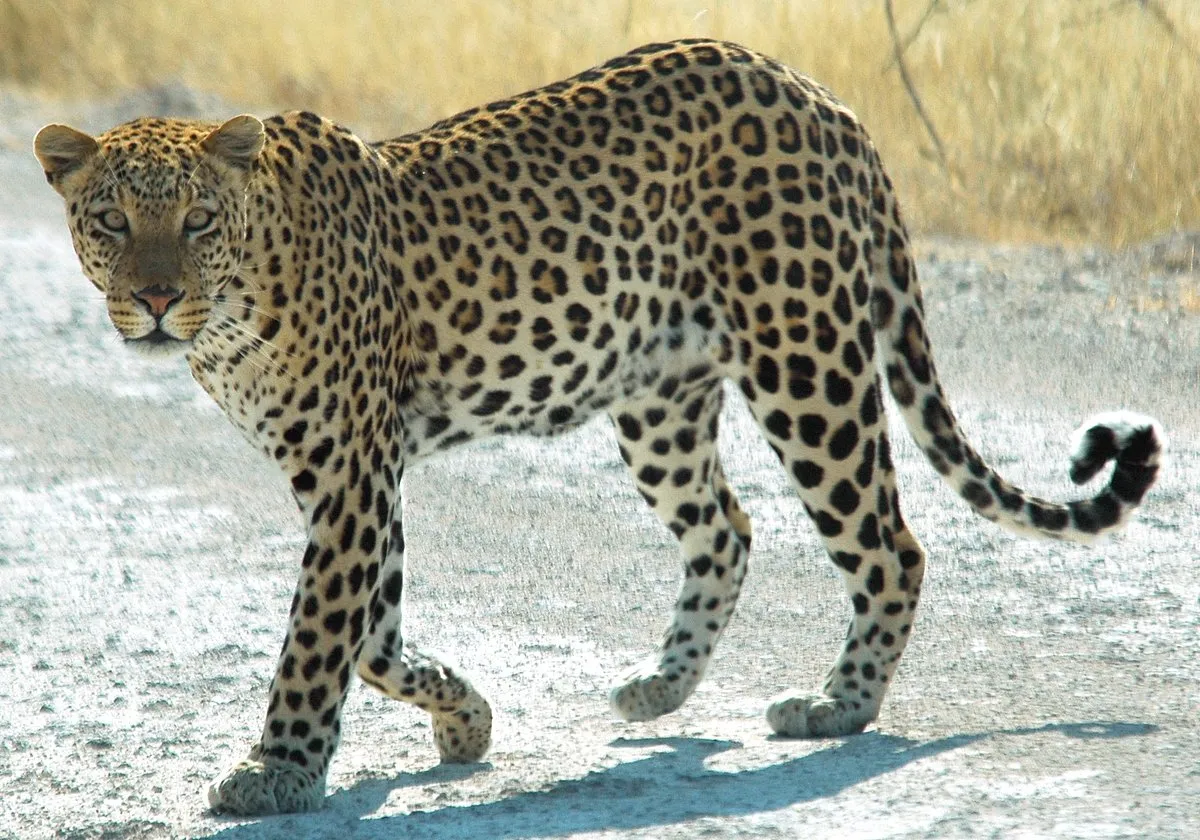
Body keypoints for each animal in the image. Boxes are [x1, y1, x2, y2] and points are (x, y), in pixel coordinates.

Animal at [34, 39, 1163, 816]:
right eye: (111, 222)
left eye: (196, 222)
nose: (155, 302)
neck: (235, 309)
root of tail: (819, 94)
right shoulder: (357, 475)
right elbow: (373, 633)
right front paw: (464, 716)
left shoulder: (351, 472)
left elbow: (318, 639)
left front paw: (277, 772)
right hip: (657, 399)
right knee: (727, 528)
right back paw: (660, 689)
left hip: (807, 362)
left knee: (891, 542)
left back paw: (837, 706)